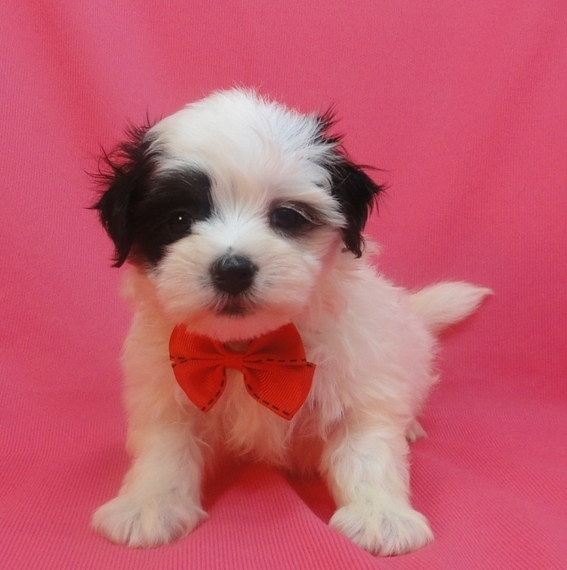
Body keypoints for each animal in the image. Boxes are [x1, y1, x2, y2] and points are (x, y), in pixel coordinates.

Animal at [91, 90, 490, 556]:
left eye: (287, 217)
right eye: (178, 220)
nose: (233, 270)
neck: (246, 350)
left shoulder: (359, 384)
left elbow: (367, 452)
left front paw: (381, 515)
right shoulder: (167, 388)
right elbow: (164, 452)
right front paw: (147, 505)